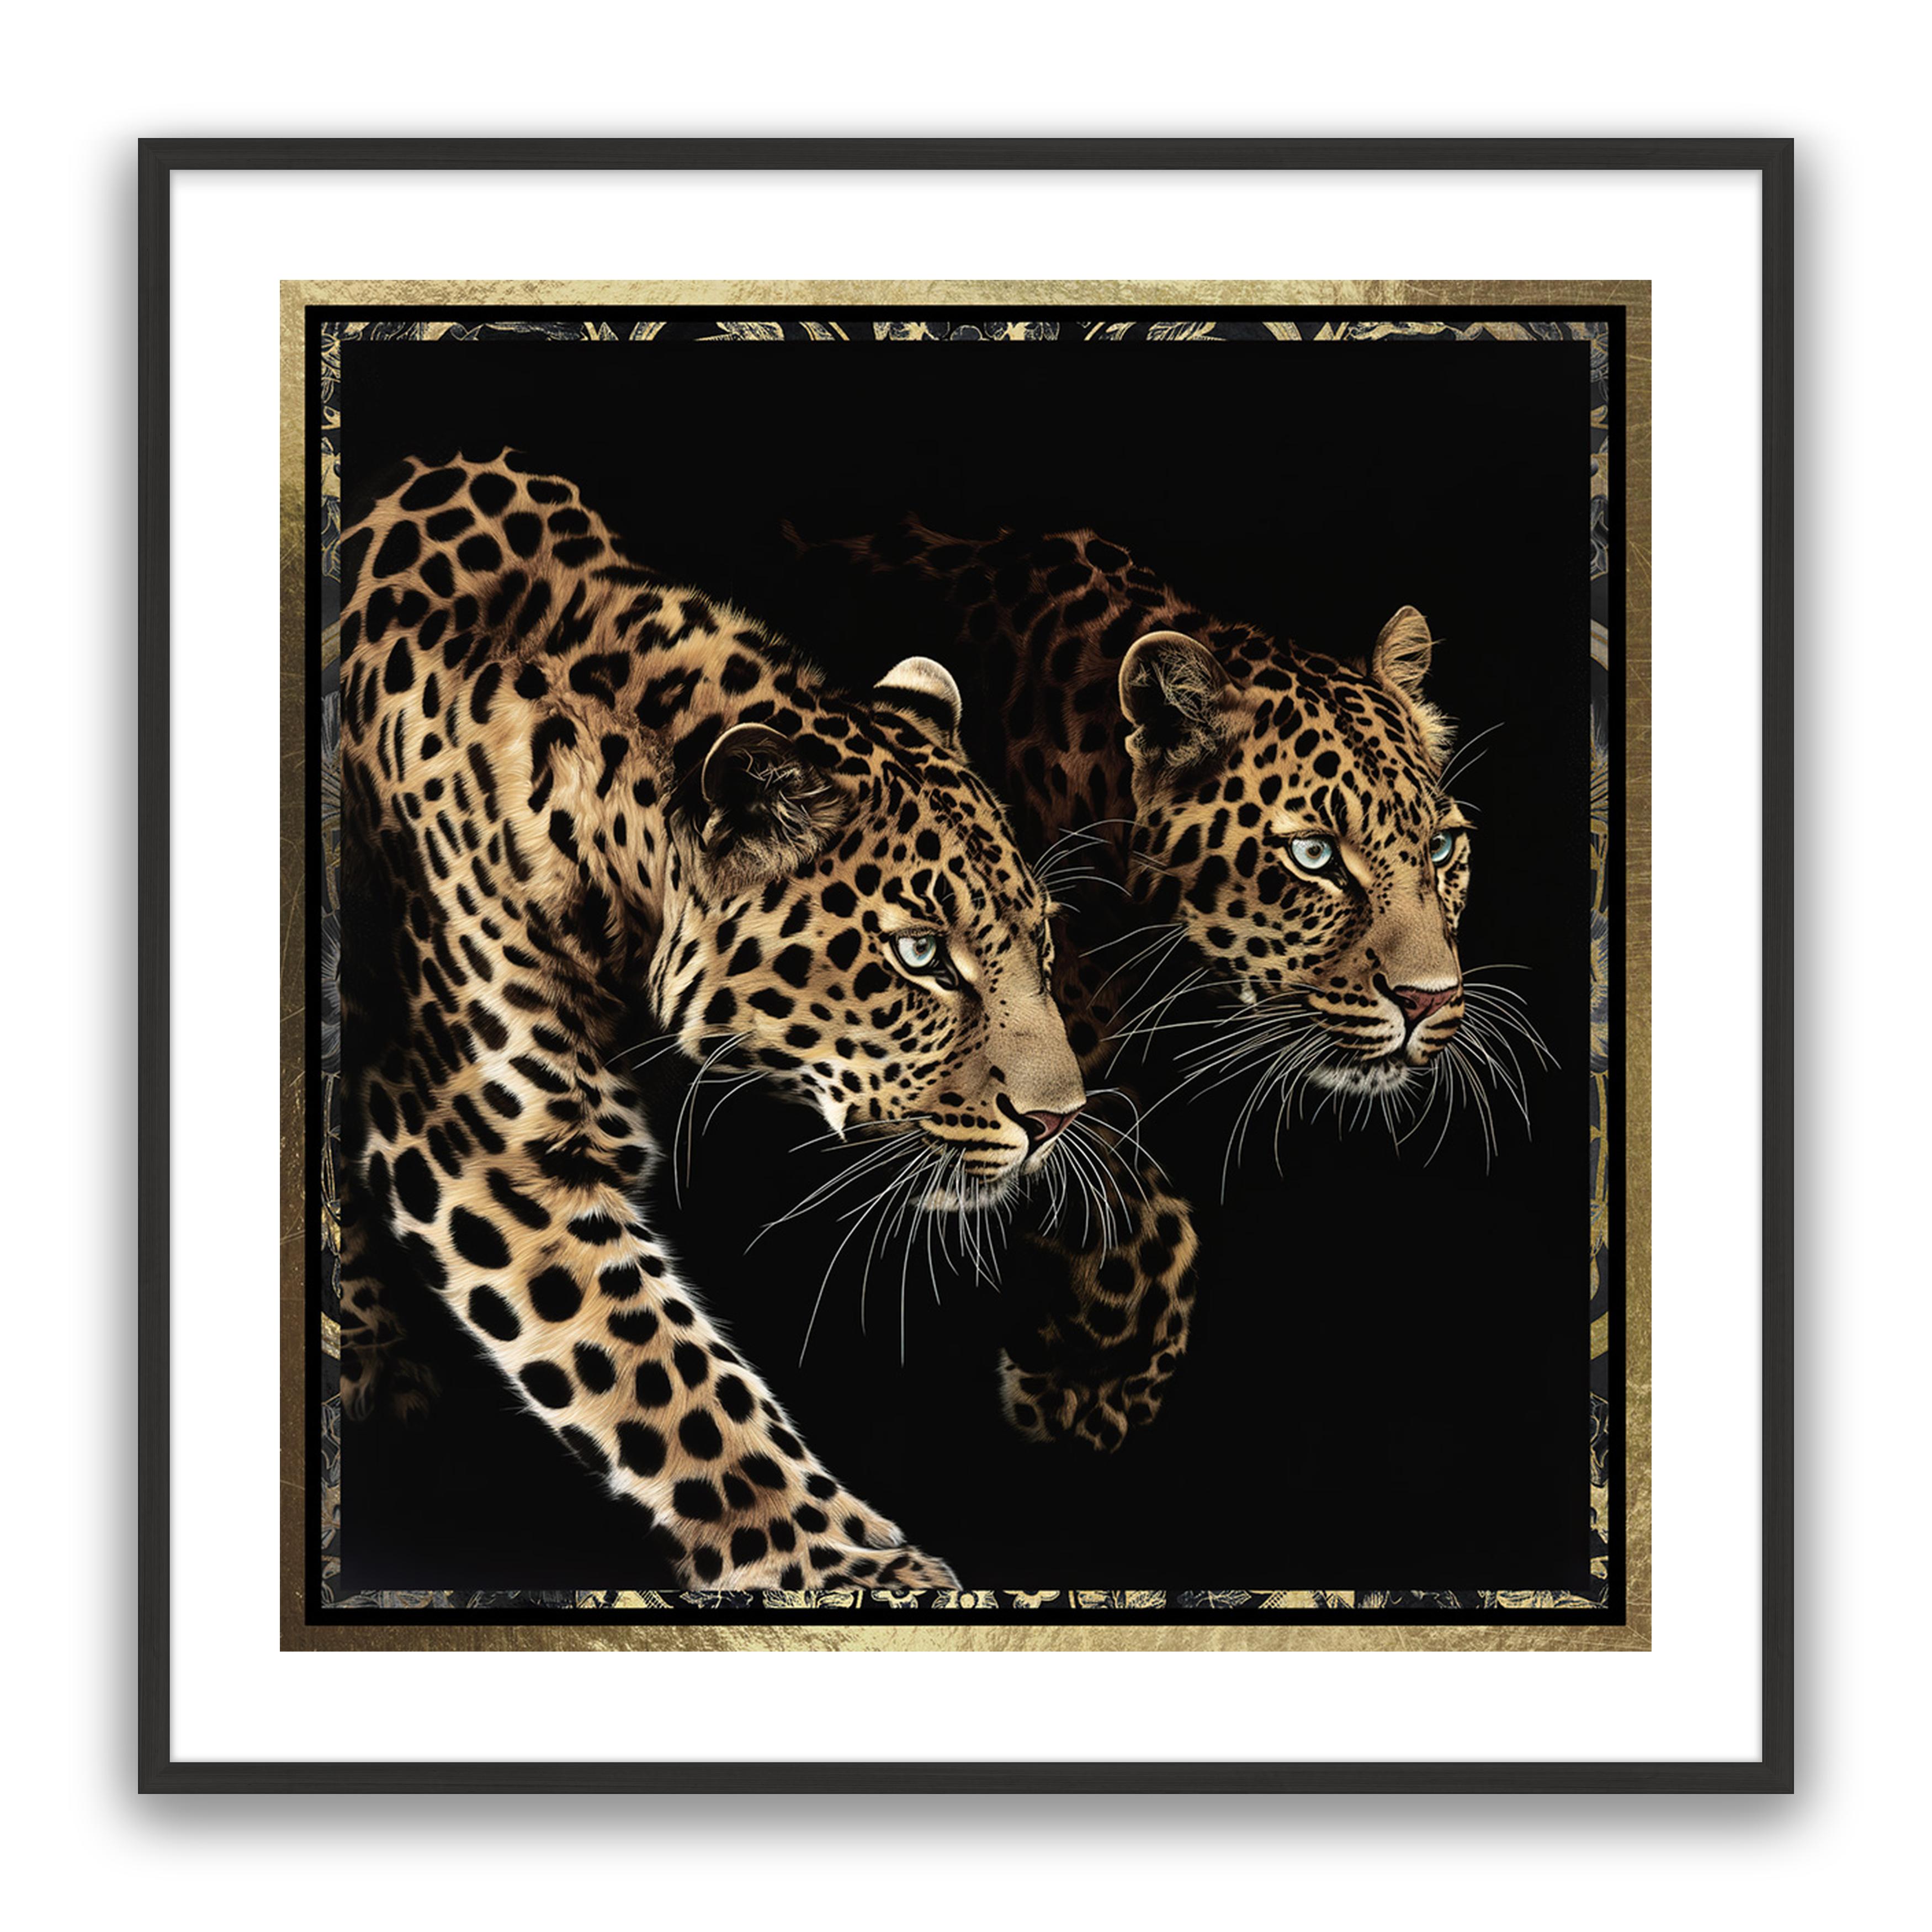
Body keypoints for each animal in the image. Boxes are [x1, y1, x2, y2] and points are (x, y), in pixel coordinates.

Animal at [333, 454, 1089, 1593]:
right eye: (920, 956)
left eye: (1040, 941)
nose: (1061, 1121)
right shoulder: (481, 1140)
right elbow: (668, 1379)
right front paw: (846, 1565)